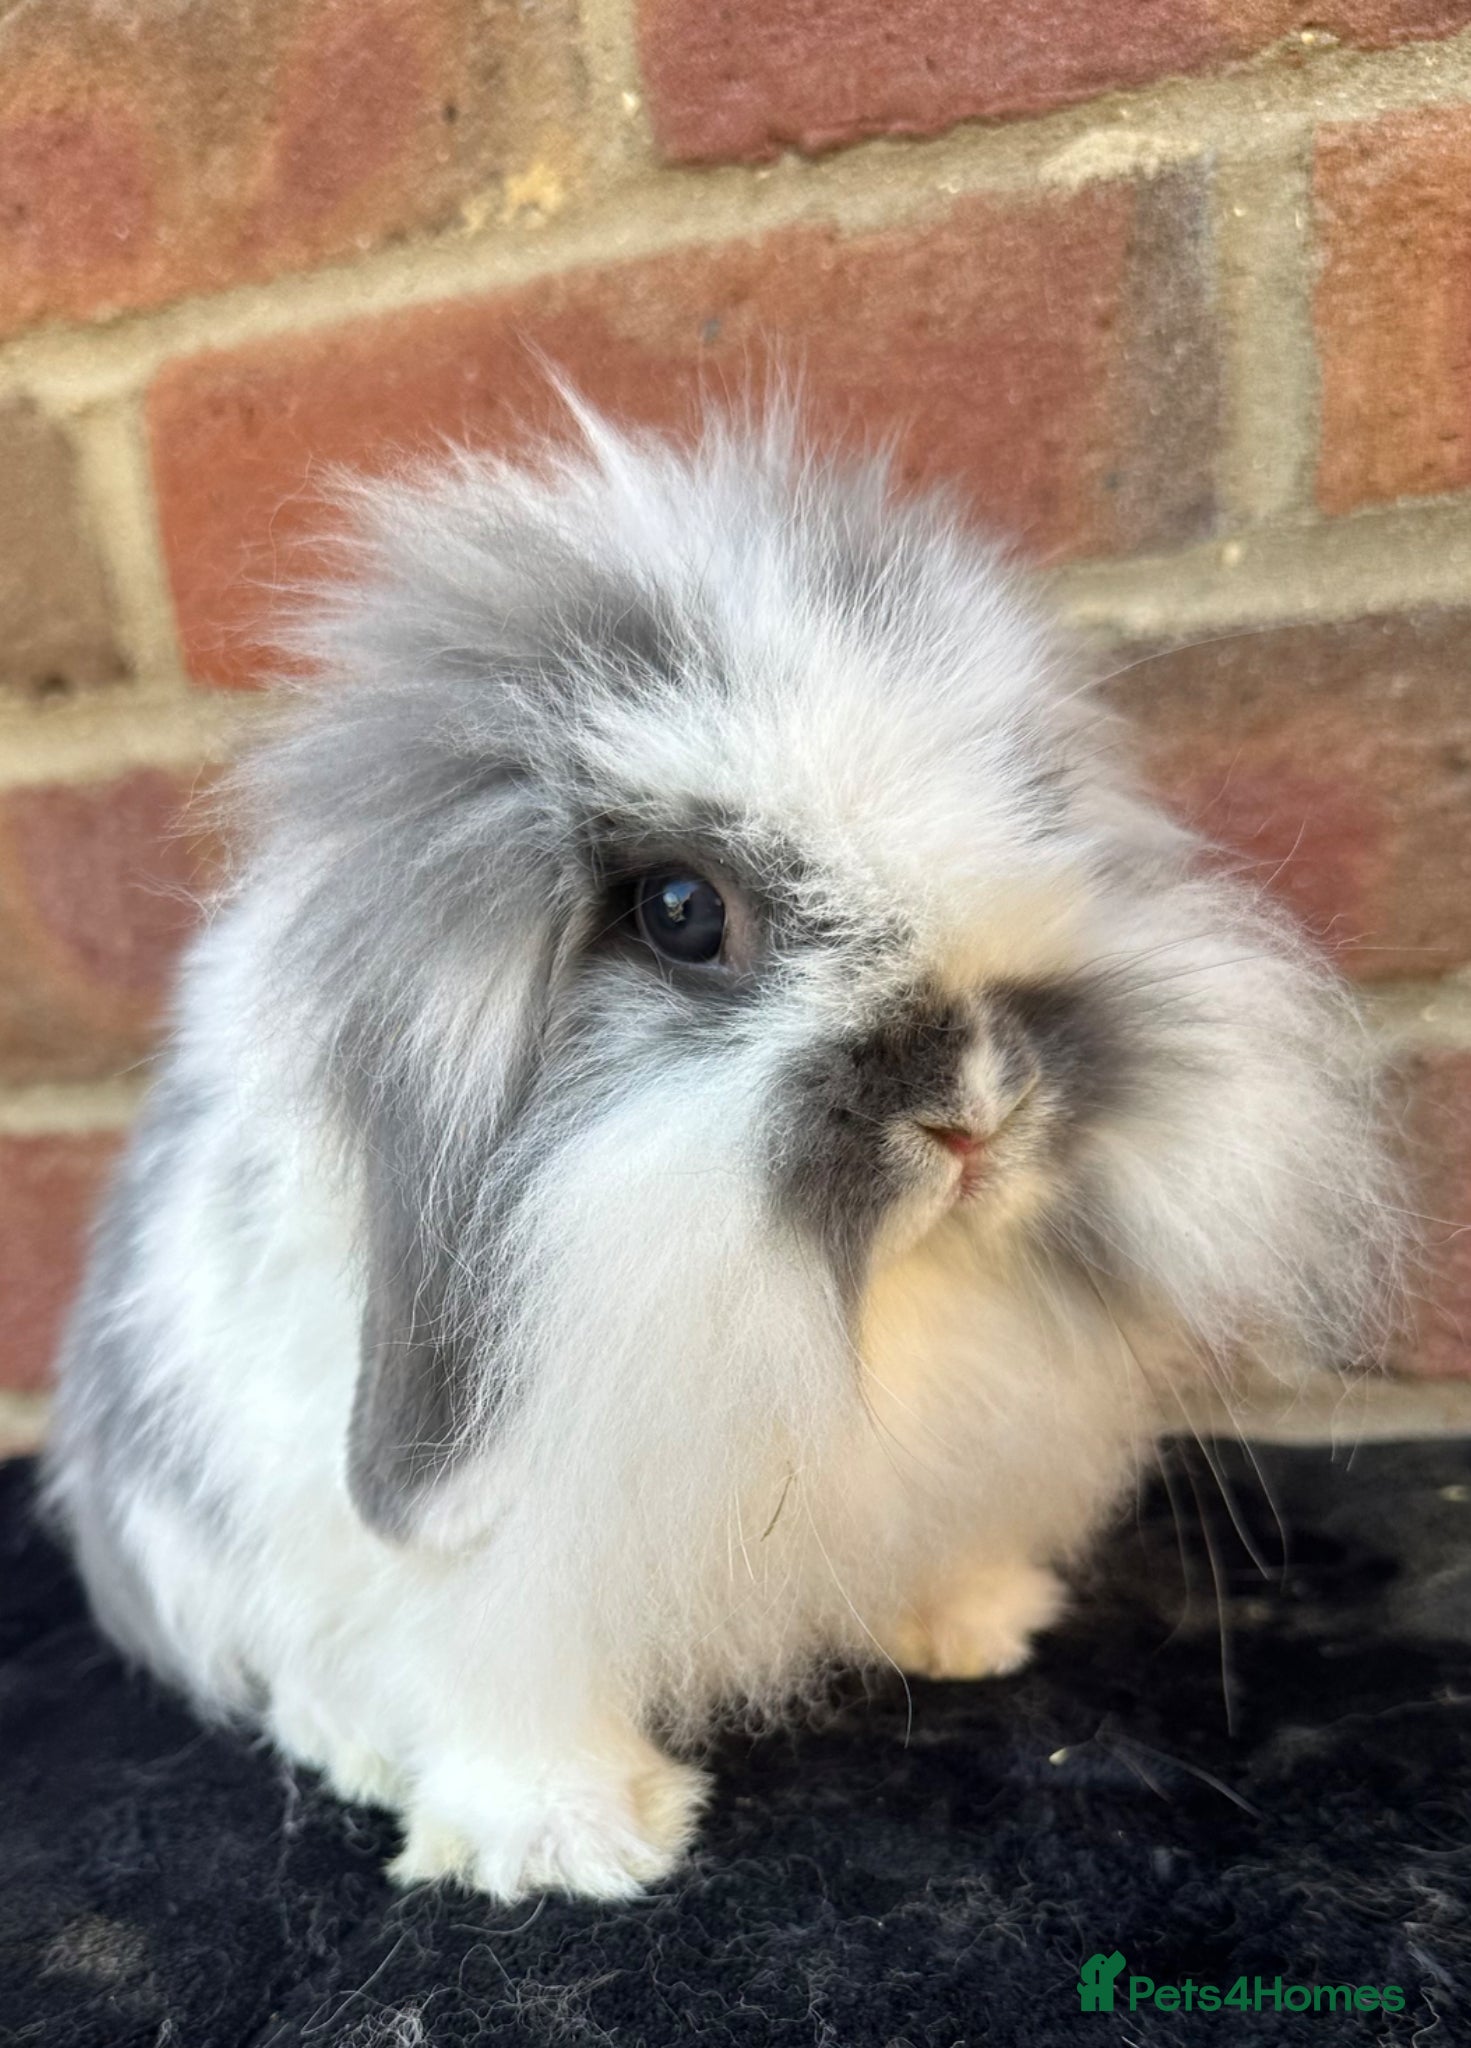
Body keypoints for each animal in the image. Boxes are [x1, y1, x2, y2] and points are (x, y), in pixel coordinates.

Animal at [43, 400, 1399, 1904]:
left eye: (1038, 814)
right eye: (684, 912)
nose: (979, 1112)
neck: (867, 1305)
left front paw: (977, 1626)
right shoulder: (481, 1577)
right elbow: (503, 1689)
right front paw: (578, 1844)